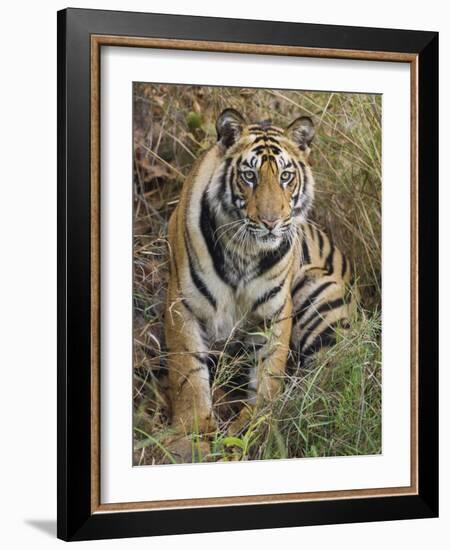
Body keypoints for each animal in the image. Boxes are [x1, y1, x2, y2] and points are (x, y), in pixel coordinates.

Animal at [163, 108, 354, 462]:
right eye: (249, 176)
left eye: (285, 177)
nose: (271, 222)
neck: (244, 250)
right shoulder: (182, 304)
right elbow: (188, 375)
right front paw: (189, 437)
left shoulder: (275, 312)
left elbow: (269, 375)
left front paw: (258, 427)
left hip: (317, 291)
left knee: (331, 379)